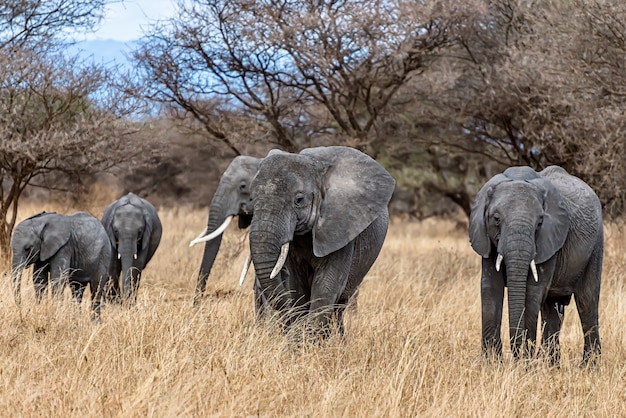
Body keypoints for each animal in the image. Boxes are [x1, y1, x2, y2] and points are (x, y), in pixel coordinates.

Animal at [246, 145, 392, 334]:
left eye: (299, 200)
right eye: (252, 198)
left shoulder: (341, 227)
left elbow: (326, 287)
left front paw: (310, 339)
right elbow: (296, 286)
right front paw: (298, 338)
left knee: (339, 307)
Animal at [468, 167, 600, 366]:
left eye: (539, 223)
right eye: (496, 219)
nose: (515, 355)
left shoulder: (550, 239)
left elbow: (532, 292)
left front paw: (525, 364)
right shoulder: (486, 239)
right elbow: (490, 289)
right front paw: (491, 365)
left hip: (596, 245)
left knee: (587, 301)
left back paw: (588, 368)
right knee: (552, 309)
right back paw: (551, 366)